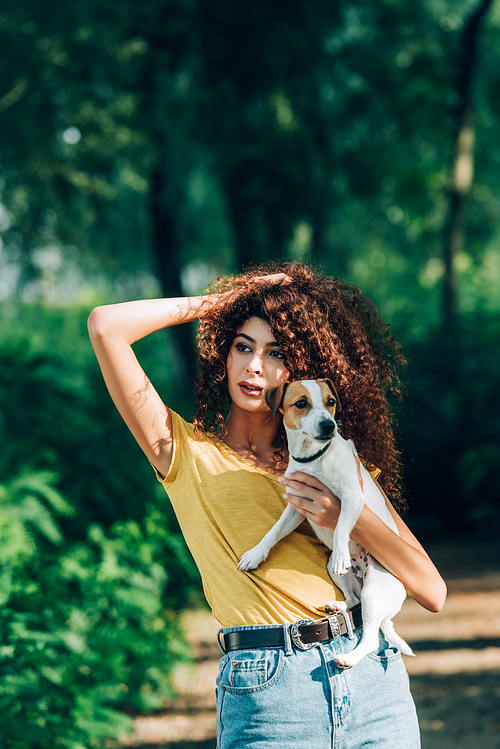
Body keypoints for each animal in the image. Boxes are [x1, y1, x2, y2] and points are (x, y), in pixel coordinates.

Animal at [238, 380, 414, 668]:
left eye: (331, 401)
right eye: (301, 403)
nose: (329, 425)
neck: (313, 459)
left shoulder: (352, 498)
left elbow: (341, 525)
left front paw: (343, 550)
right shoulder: (296, 507)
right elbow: (273, 532)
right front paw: (255, 554)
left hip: (374, 592)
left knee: (370, 638)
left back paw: (348, 657)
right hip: (333, 571)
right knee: (352, 599)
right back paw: (338, 605)